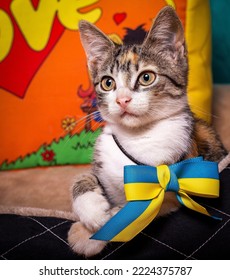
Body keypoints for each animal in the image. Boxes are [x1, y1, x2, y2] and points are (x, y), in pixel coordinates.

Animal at [67, 6, 226, 258]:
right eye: (108, 83)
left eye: (146, 77)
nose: (122, 100)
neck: (138, 136)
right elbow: (82, 177)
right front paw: (92, 213)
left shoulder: (175, 178)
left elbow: (149, 205)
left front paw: (97, 229)